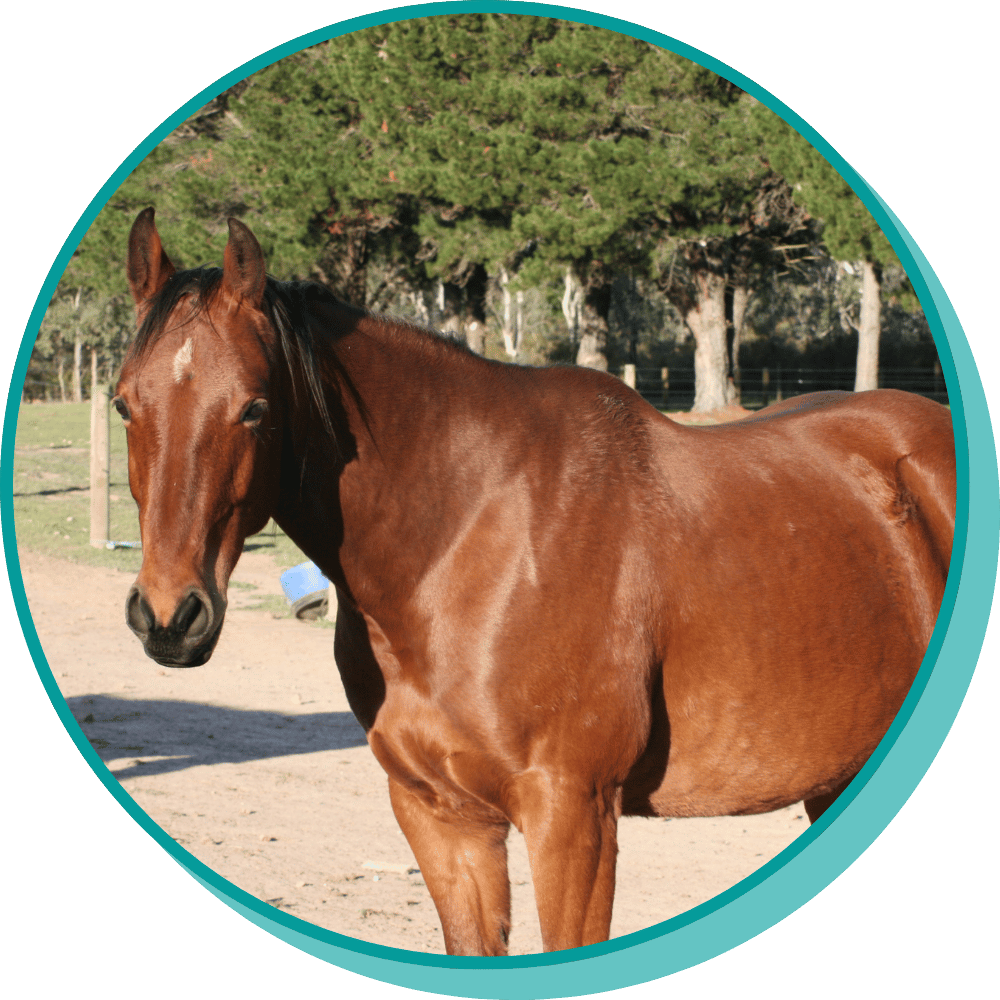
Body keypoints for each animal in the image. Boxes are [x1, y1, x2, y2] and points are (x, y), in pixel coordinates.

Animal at [116, 208, 956, 956]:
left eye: (255, 408)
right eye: (125, 403)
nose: (170, 617)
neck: (464, 541)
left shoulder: (572, 815)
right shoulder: (440, 817)